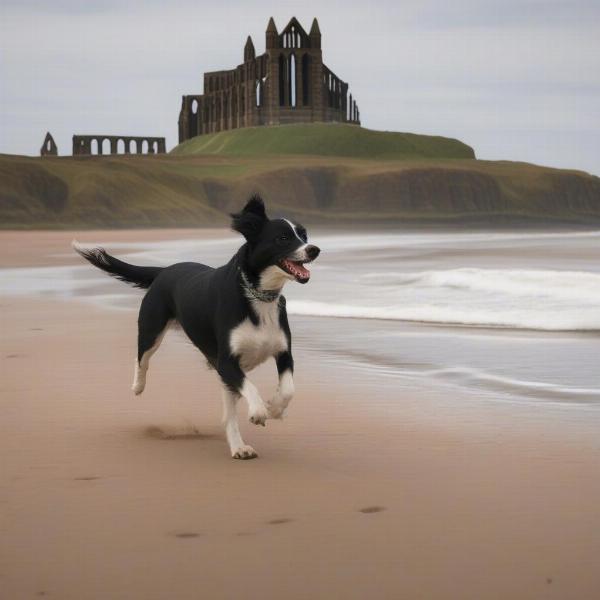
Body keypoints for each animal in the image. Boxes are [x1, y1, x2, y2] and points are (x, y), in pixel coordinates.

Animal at [72, 197, 318, 460]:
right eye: (283, 238)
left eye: (303, 235)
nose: (314, 249)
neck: (258, 297)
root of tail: (165, 270)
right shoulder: (226, 362)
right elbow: (251, 387)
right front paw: (259, 411)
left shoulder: (283, 353)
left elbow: (288, 389)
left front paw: (274, 409)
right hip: (151, 329)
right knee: (142, 358)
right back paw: (138, 386)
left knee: (228, 412)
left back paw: (239, 447)